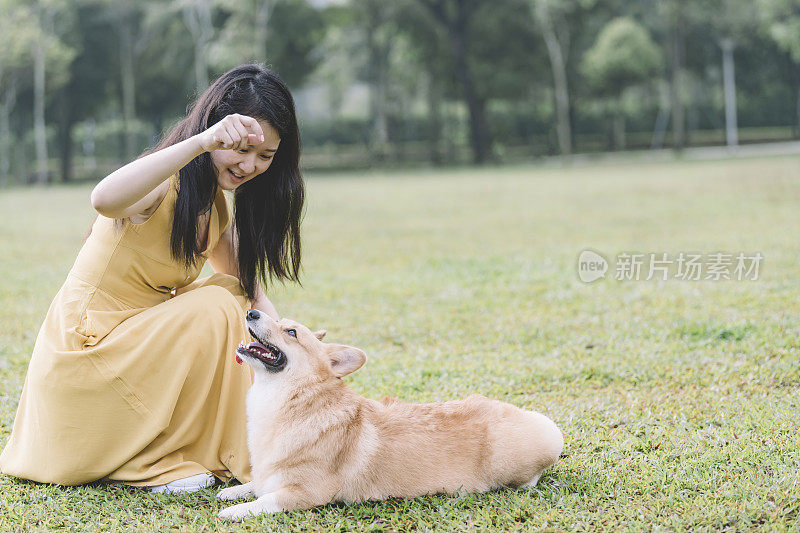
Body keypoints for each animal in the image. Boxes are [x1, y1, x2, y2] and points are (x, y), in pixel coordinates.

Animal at [214, 308, 564, 520]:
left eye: (291, 332)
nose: (251, 311)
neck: (289, 401)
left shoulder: (308, 493)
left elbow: (267, 500)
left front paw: (236, 511)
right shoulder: (269, 475)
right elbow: (256, 484)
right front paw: (232, 491)